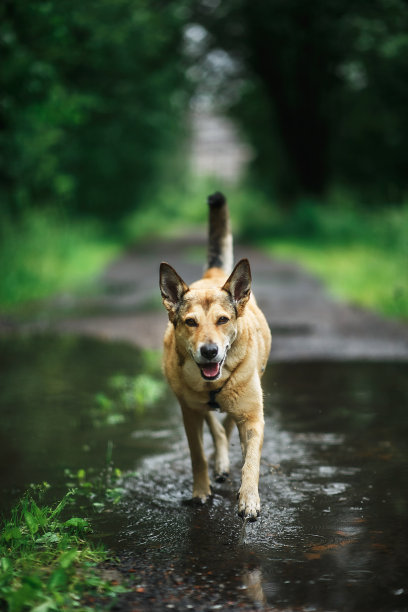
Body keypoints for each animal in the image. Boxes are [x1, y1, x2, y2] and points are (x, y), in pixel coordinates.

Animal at [159, 192, 270, 520]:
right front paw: (200, 492)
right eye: (190, 322)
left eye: (223, 320)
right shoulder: (189, 414)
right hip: (194, 404)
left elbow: (252, 461)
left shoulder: (252, 416)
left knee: (230, 428)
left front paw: (249, 498)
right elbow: (198, 456)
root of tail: (214, 275)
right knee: (216, 428)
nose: (210, 351)